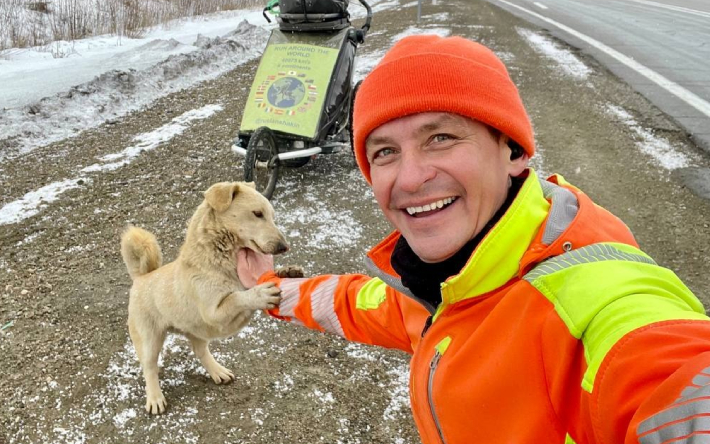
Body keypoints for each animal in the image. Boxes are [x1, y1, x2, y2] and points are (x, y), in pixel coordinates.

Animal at [121, 180, 294, 412]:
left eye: (272, 215)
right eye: (258, 214)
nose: (284, 247)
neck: (217, 262)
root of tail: (141, 277)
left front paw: (288, 272)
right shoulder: (215, 314)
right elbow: (237, 297)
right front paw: (259, 294)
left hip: (197, 331)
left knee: (199, 351)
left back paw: (217, 371)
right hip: (150, 339)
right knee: (149, 367)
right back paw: (155, 398)